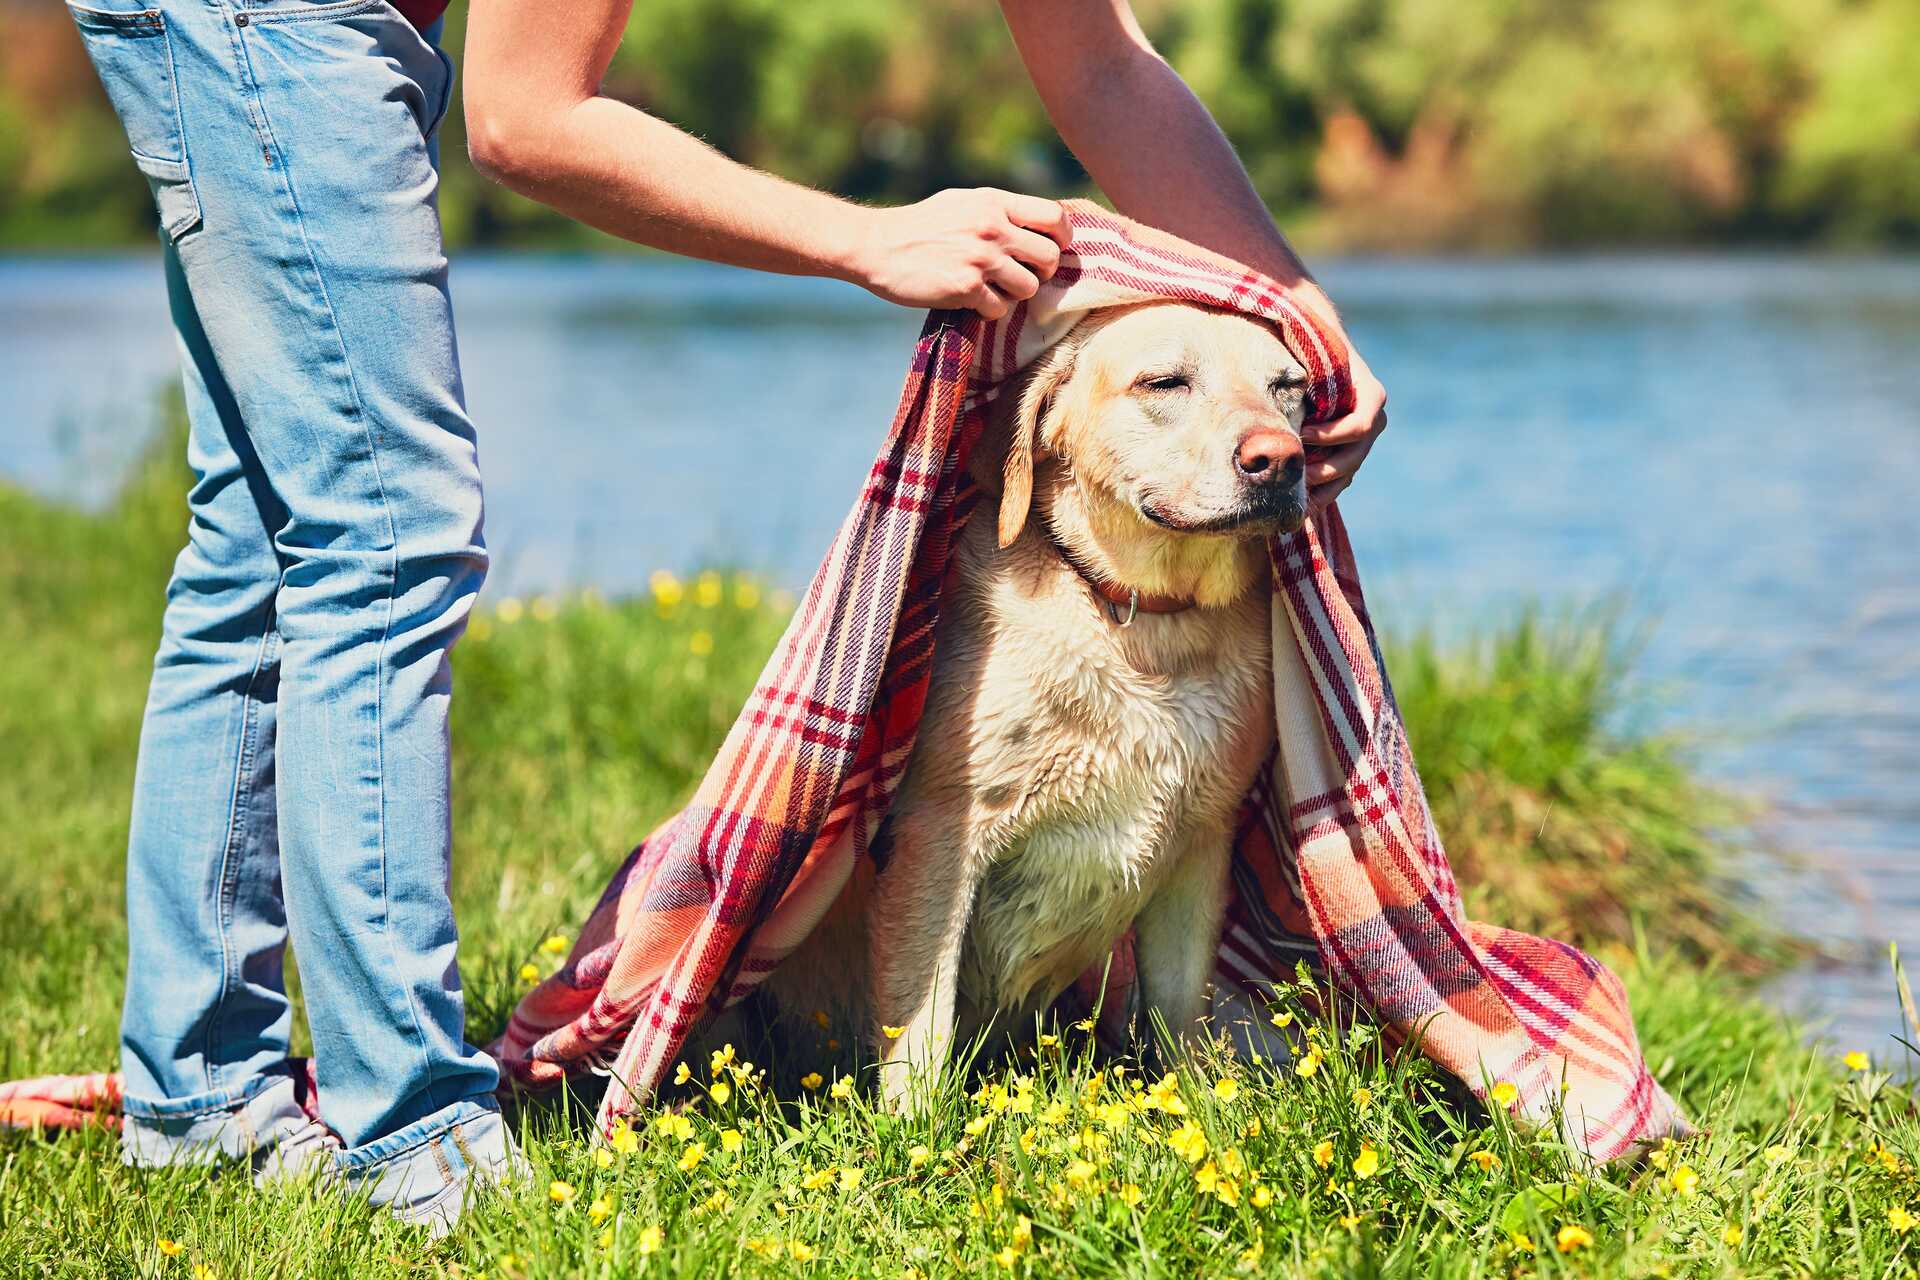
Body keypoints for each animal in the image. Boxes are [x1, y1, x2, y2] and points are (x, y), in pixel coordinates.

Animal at [764, 297, 1305, 1105]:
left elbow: (1179, 1011)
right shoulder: (940, 836)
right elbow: (921, 1022)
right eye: (1165, 382)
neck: (1140, 624)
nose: (1281, 459)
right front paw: (913, 1130)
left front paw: (1195, 1108)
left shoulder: (1201, 844)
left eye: (1288, 388)